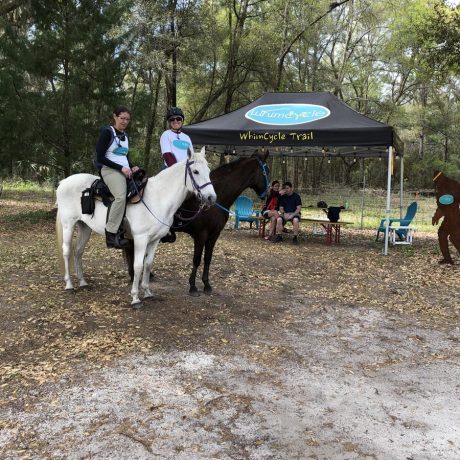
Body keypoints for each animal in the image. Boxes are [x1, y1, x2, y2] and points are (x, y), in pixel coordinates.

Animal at [55, 147, 217, 306]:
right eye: (195, 171)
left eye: (208, 171)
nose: (211, 198)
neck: (157, 198)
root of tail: (63, 182)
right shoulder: (140, 239)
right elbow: (138, 265)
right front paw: (135, 297)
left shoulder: (154, 240)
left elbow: (148, 264)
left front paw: (147, 292)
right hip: (68, 225)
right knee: (66, 251)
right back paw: (69, 284)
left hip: (85, 227)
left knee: (78, 251)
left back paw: (83, 282)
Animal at [124, 150, 272, 294]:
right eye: (267, 171)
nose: (268, 194)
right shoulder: (201, 235)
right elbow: (197, 259)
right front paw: (193, 286)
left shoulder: (214, 235)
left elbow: (207, 258)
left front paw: (206, 284)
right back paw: (133, 276)